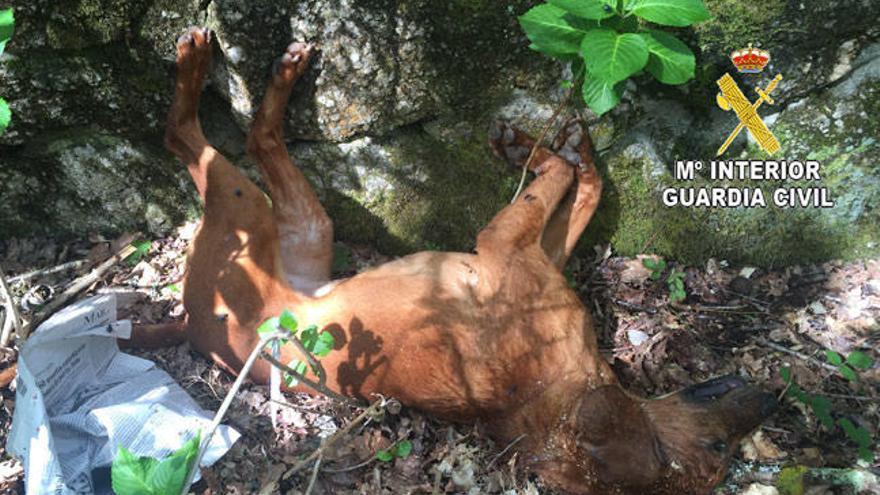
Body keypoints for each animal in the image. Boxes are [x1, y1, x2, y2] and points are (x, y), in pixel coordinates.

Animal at [138, 29, 776, 494]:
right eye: (718, 447)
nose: (769, 396)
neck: (553, 399)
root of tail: (190, 326)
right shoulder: (510, 244)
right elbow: (572, 185)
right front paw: (558, 150)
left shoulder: (516, 250)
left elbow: (563, 189)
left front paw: (549, 152)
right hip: (251, 215)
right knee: (191, 137)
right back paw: (211, 64)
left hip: (289, 223)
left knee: (240, 141)